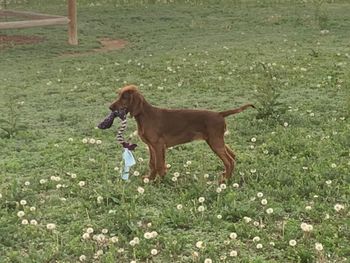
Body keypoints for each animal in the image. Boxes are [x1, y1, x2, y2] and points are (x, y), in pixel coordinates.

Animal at [109, 85, 254, 183]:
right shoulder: (151, 146)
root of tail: (219, 114)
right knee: (233, 156)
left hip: (215, 142)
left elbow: (159, 164)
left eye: (124, 97)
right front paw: (150, 179)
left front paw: (161, 181)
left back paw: (225, 181)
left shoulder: (158, 145)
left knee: (229, 161)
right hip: (216, 140)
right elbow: (152, 164)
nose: (110, 107)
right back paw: (225, 176)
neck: (145, 116)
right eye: (118, 95)